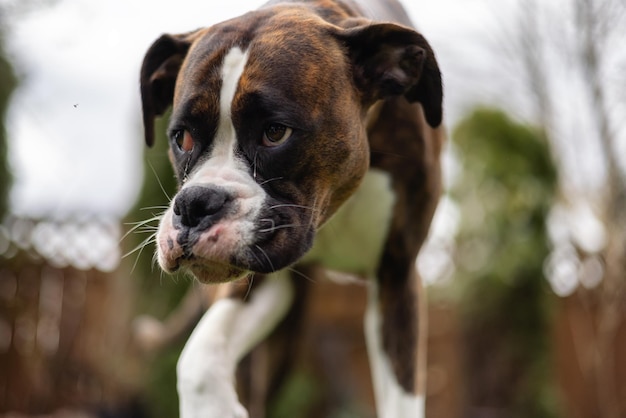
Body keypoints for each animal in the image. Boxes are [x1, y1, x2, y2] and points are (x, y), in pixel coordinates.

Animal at [139, 0, 442, 414]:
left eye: (275, 132)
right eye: (181, 137)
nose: (194, 205)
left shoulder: (397, 275)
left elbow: (402, 396)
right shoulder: (258, 281)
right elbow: (200, 355)